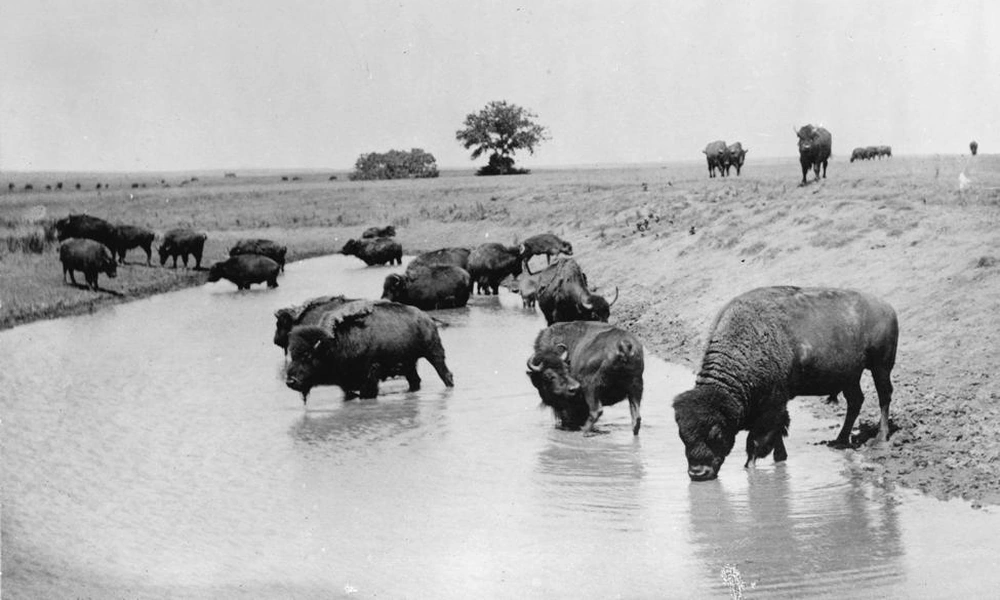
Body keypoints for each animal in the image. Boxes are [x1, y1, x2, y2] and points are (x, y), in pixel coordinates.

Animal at [284, 300, 454, 402]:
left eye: (307, 355)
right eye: (293, 356)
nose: (290, 381)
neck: (334, 343)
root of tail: (427, 317)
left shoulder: (370, 377)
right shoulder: (346, 384)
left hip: (434, 354)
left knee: (445, 374)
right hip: (409, 365)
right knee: (415, 380)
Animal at [672, 286, 898, 481]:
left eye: (716, 433)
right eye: (682, 435)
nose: (698, 473)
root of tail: (887, 307)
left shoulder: (772, 406)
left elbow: (756, 442)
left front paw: (749, 468)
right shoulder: (774, 408)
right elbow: (777, 435)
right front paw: (779, 457)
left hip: (880, 366)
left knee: (884, 396)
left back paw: (880, 438)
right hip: (850, 377)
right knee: (856, 401)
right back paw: (840, 440)